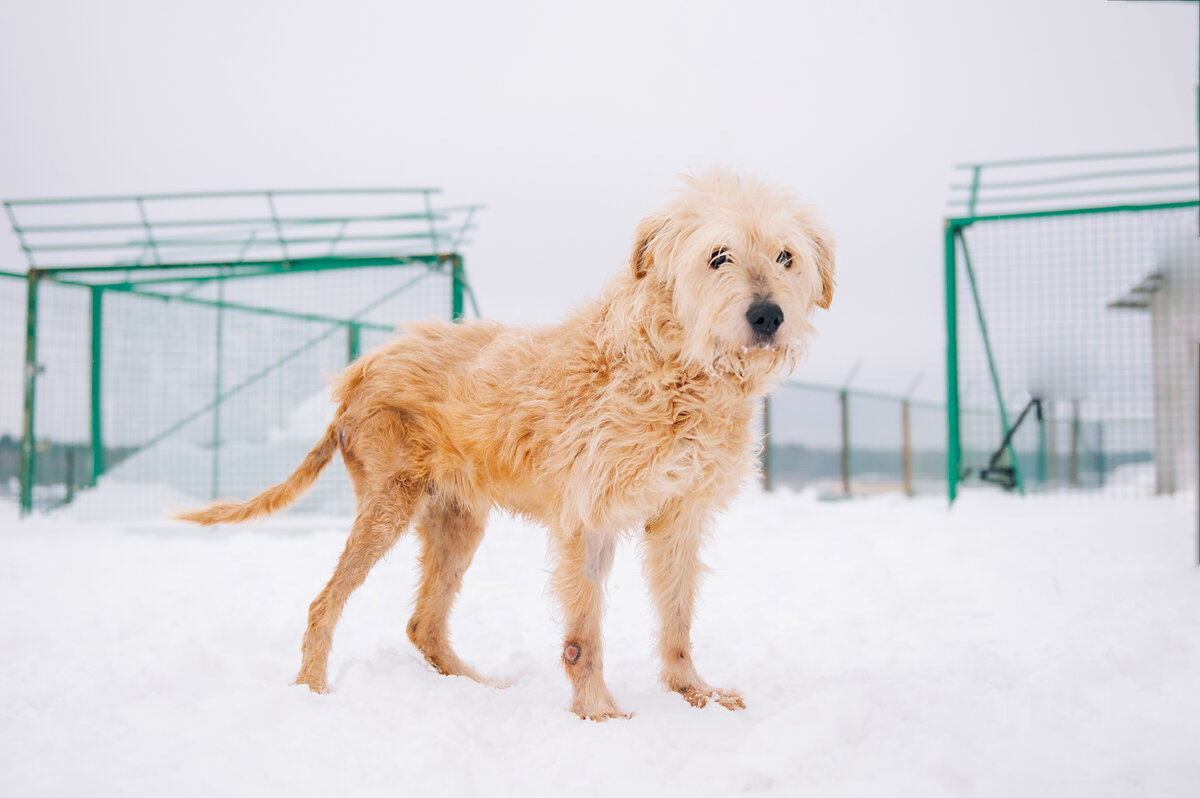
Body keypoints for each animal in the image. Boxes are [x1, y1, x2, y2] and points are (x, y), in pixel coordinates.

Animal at [175, 171, 835, 720]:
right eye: (717, 256)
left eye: (786, 257)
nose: (767, 316)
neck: (674, 367)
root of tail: (361, 369)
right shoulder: (586, 520)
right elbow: (583, 634)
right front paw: (598, 713)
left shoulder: (679, 517)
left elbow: (677, 618)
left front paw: (693, 693)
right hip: (388, 507)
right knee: (323, 604)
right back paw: (312, 691)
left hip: (457, 521)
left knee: (422, 624)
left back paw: (479, 688)